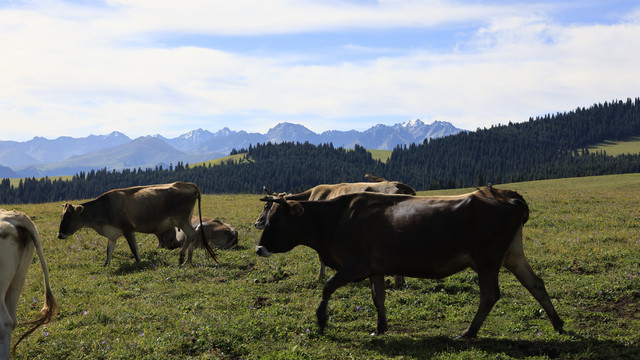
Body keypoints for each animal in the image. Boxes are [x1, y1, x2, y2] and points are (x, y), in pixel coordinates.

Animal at [55, 181, 215, 266]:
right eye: (61, 216)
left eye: (68, 217)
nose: (59, 235)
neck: (105, 208)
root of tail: (187, 184)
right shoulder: (112, 234)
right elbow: (109, 250)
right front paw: (106, 265)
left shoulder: (128, 229)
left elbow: (133, 248)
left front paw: (139, 262)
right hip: (186, 218)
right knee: (192, 235)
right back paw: (188, 260)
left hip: (181, 219)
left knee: (192, 234)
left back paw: (182, 258)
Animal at [255, 188, 564, 338]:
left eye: (275, 221)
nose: (259, 248)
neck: (335, 218)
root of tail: (507, 196)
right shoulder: (375, 268)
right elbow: (377, 297)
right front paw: (381, 327)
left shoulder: (354, 265)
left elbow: (327, 287)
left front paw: (321, 321)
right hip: (512, 254)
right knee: (536, 283)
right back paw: (558, 323)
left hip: (487, 259)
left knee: (490, 295)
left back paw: (469, 332)